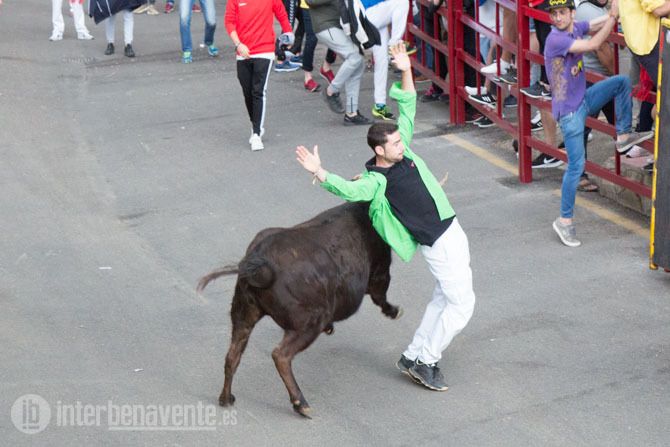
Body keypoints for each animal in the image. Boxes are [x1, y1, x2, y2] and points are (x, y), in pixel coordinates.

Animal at [197, 202, 403, 418]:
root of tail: (262, 264)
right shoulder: (380, 272)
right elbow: (380, 296)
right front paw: (395, 311)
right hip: (309, 324)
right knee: (281, 355)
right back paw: (301, 403)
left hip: (244, 312)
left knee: (232, 355)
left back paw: (226, 398)